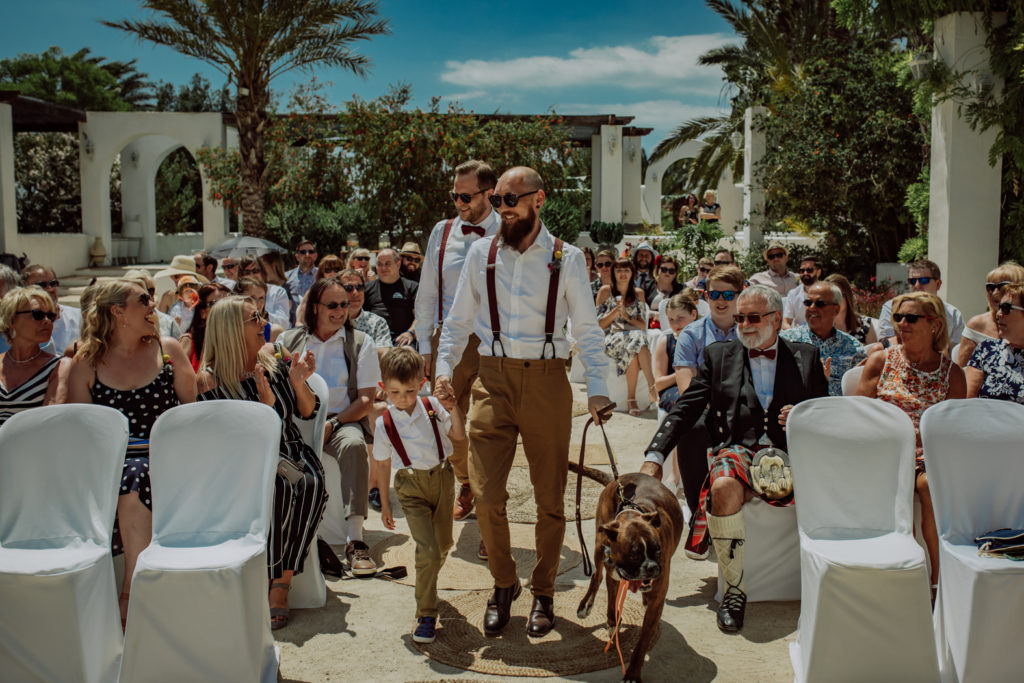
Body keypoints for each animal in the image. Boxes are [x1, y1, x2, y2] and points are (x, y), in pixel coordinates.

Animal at [573, 467, 683, 683]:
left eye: (658, 550)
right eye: (634, 555)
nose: (652, 567)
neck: (634, 513)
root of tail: (618, 478)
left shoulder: (656, 601)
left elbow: (642, 644)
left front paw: (633, 673)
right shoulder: (614, 572)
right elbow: (610, 600)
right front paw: (612, 623)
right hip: (599, 545)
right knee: (597, 576)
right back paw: (589, 606)